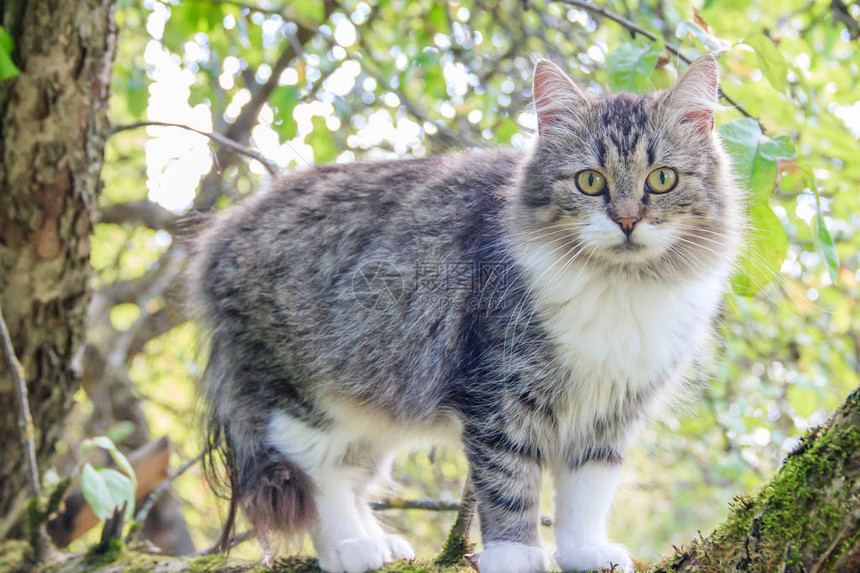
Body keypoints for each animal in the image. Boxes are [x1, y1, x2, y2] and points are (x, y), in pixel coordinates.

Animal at [191, 54, 744, 572]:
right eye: (590, 181)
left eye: (662, 179)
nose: (627, 220)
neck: (621, 289)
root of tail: (219, 236)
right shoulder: (501, 392)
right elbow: (508, 483)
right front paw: (514, 554)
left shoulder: (610, 412)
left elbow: (587, 493)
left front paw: (584, 552)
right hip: (301, 399)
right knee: (317, 478)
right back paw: (351, 548)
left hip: (375, 401)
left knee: (349, 476)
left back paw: (380, 543)